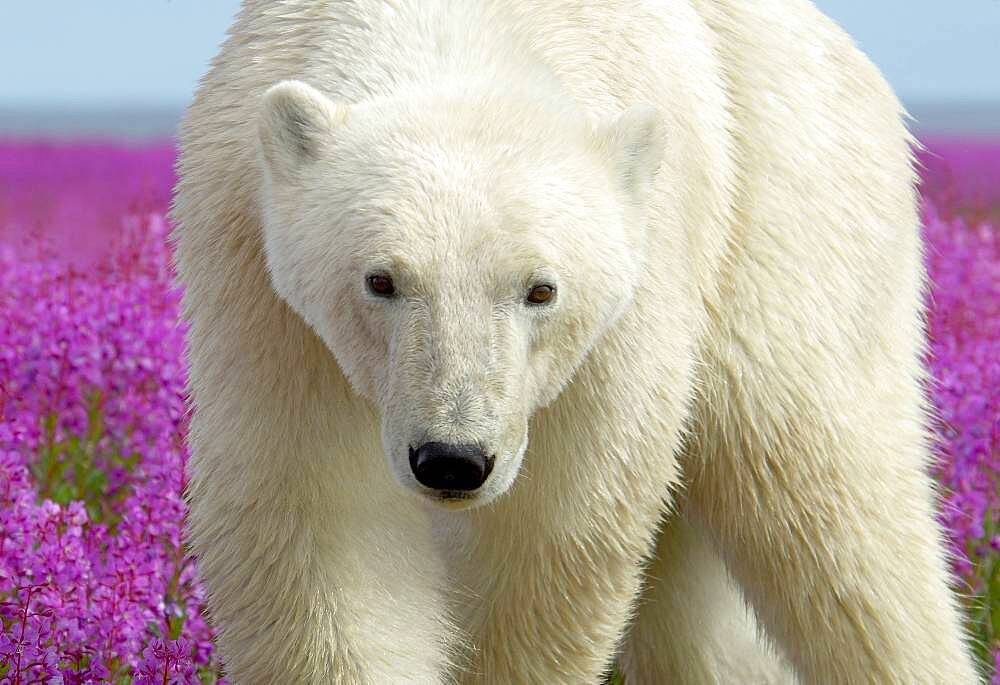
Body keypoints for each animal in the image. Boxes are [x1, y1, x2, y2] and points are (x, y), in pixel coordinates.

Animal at [172, 1, 976, 684]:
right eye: (381, 280)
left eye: (541, 289)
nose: (453, 460)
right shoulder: (265, 299)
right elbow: (322, 525)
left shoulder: (630, 303)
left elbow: (553, 536)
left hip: (790, 221)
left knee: (833, 513)